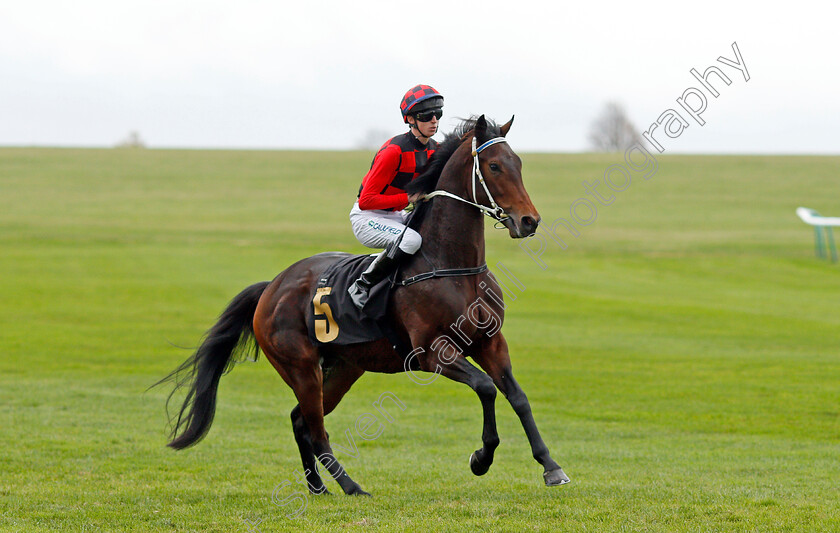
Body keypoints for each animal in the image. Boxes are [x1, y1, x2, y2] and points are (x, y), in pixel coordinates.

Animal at [158, 114, 572, 492]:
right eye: (494, 166)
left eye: (519, 163)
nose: (529, 221)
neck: (455, 267)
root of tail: (272, 287)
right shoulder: (432, 352)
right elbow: (486, 388)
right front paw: (481, 459)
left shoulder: (490, 342)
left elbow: (517, 397)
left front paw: (551, 466)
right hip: (301, 368)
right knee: (316, 429)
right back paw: (351, 486)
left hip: (344, 367)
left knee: (300, 421)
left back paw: (318, 486)